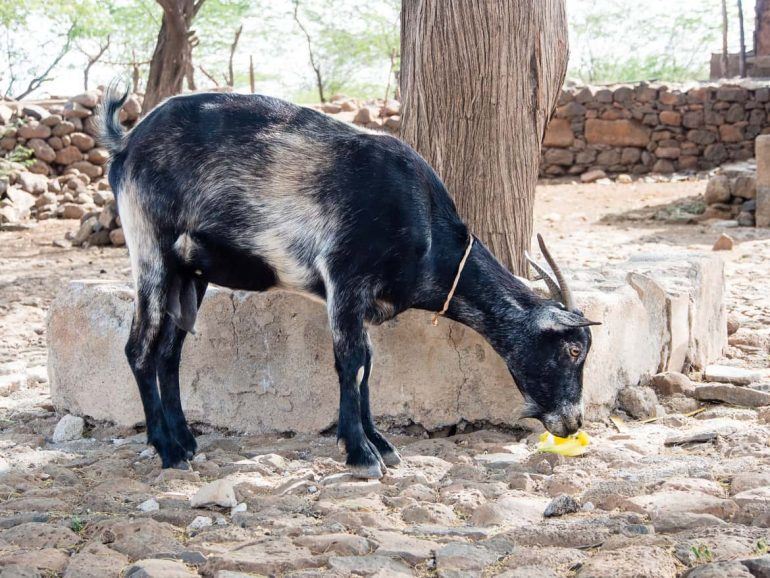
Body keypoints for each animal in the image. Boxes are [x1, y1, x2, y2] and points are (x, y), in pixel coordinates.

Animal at [97, 81, 600, 476]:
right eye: (573, 349)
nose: (573, 423)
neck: (424, 224)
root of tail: (126, 142)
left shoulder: (364, 302)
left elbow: (369, 366)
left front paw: (381, 444)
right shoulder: (344, 279)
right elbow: (351, 361)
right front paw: (360, 454)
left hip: (191, 272)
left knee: (169, 352)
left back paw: (185, 441)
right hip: (151, 247)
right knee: (139, 348)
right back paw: (165, 449)